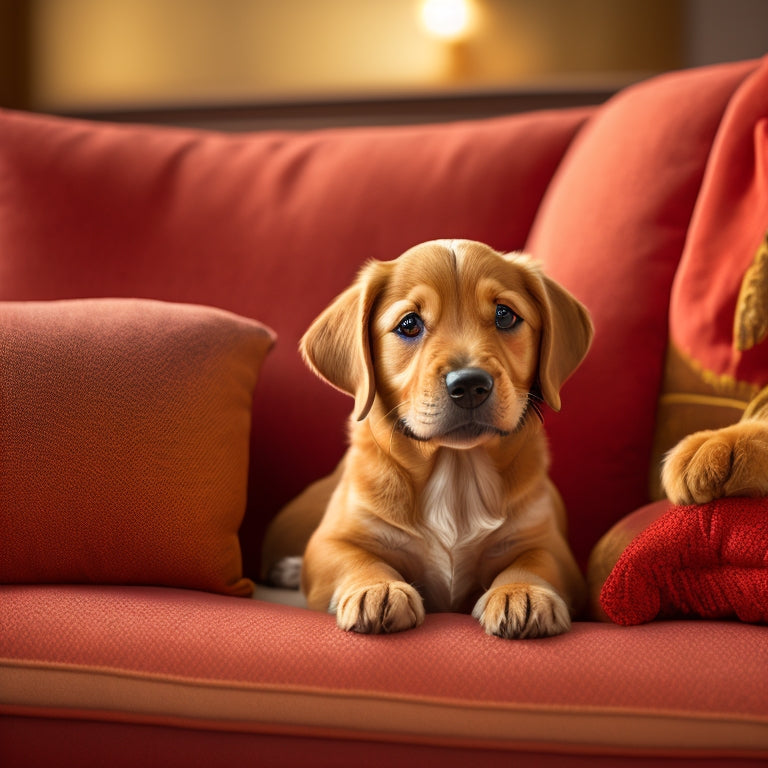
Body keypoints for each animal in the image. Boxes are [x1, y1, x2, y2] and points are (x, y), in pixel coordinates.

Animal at [264, 238, 592, 636]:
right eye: (409, 324)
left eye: (505, 315)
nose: (470, 384)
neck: (457, 471)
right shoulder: (331, 541)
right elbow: (354, 558)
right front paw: (377, 587)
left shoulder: (550, 545)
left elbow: (536, 561)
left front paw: (522, 591)